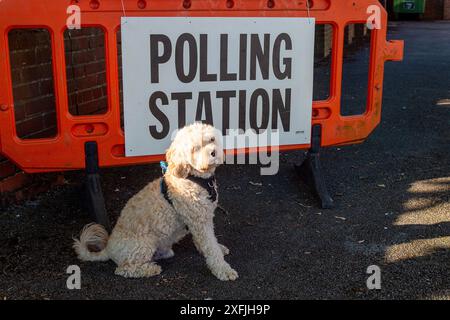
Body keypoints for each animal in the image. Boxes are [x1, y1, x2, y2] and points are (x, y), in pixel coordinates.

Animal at [73, 122, 239, 280]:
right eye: (195, 148)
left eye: (211, 139)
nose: (214, 152)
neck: (195, 178)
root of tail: (108, 248)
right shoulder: (199, 222)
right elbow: (210, 247)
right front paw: (223, 270)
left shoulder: (202, 220)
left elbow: (208, 243)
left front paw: (218, 248)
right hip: (144, 245)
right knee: (124, 269)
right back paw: (150, 269)